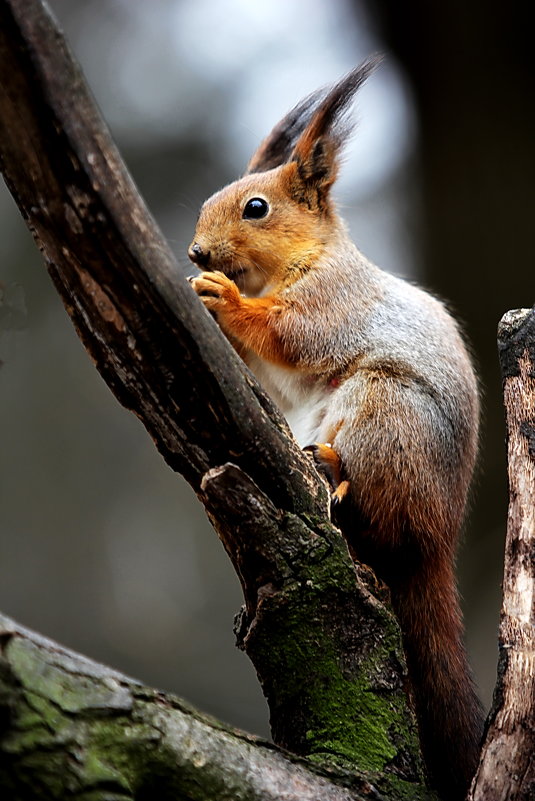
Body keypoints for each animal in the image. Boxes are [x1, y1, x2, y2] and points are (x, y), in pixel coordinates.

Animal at [188, 57, 486, 800]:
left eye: (256, 207)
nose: (197, 251)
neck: (287, 266)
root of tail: (436, 542)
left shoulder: (333, 302)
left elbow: (291, 333)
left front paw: (224, 301)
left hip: (383, 413)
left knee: (378, 504)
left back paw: (331, 467)